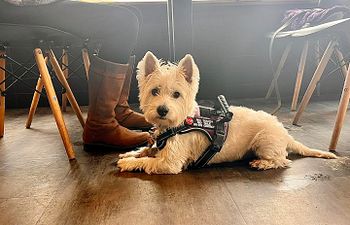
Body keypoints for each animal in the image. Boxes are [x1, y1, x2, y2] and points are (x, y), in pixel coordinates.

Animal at [117, 52, 336, 174]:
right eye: (154, 91)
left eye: (176, 94)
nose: (162, 110)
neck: (179, 124)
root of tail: (285, 132)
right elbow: (146, 151)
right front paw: (131, 153)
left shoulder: (170, 163)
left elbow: (148, 161)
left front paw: (127, 162)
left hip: (264, 142)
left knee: (282, 159)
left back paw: (261, 163)